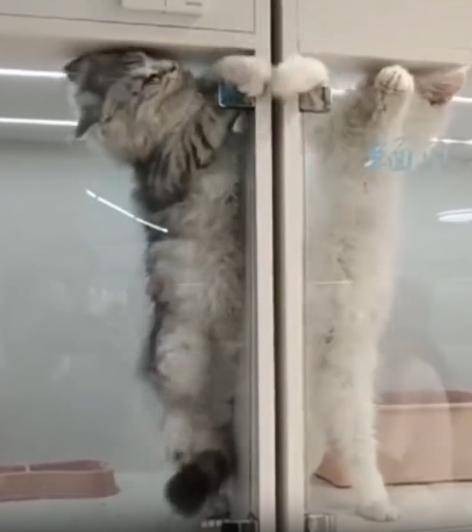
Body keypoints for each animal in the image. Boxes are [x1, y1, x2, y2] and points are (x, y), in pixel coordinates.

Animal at [65, 50, 270, 517]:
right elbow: (204, 125)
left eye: (152, 59)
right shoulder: (169, 170)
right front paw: (235, 72)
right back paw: (211, 507)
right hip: (180, 357)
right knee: (196, 451)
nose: (174, 67)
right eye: (147, 79)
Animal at [272, 55, 466, 521]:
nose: (372, 84)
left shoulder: (380, 156)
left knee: (357, 447)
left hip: (351, 386)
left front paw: (394, 88)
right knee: (313, 448)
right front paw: (300, 72)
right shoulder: (324, 135)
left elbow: (383, 131)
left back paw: (376, 503)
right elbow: (319, 84)